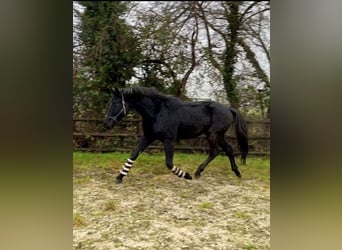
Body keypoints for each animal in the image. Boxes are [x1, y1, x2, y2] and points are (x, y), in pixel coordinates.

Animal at [103, 86, 247, 184]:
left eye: (116, 103)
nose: (106, 124)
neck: (157, 112)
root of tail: (229, 109)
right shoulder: (148, 137)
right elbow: (133, 155)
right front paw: (119, 177)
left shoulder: (169, 140)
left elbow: (169, 163)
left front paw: (186, 175)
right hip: (218, 135)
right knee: (228, 150)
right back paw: (237, 173)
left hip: (212, 134)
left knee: (215, 152)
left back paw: (197, 173)